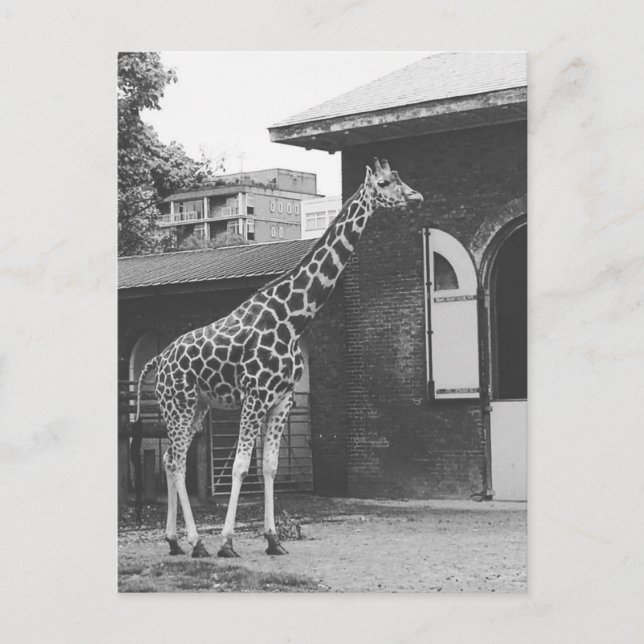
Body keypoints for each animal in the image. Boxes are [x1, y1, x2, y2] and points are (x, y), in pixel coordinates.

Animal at [134, 158, 423, 558]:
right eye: (384, 184)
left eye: (399, 179)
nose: (416, 196)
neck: (294, 318)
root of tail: (158, 361)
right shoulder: (255, 396)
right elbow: (241, 466)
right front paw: (227, 542)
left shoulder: (282, 399)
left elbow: (269, 467)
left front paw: (273, 540)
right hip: (178, 404)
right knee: (176, 462)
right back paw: (197, 543)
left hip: (197, 408)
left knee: (168, 459)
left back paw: (175, 540)